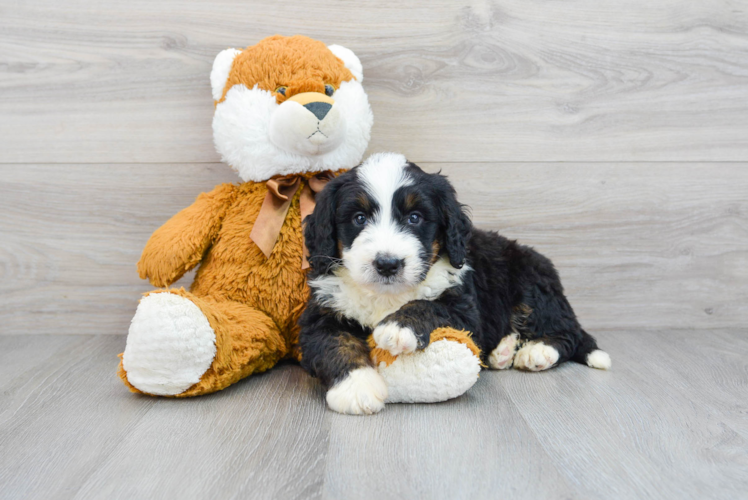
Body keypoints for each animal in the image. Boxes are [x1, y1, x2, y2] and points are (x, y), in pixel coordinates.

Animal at [298, 151, 608, 414]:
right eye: (359, 218)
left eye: (414, 217)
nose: (387, 264)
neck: (387, 296)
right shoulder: (321, 312)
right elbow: (336, 344)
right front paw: (357, 388)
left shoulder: (465, 309)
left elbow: (429, 306)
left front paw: (399, 327)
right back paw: (504, 351)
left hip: (532, 283)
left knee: (569, 332)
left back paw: (537, 351)